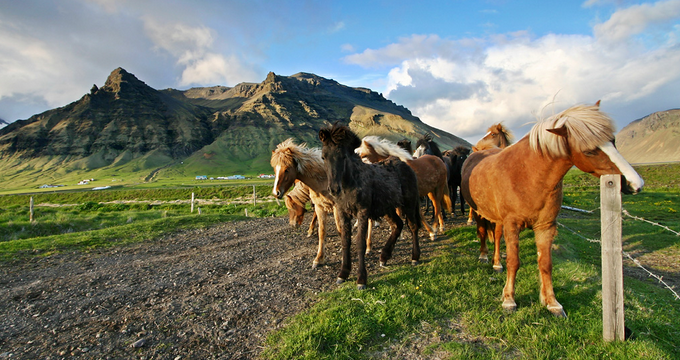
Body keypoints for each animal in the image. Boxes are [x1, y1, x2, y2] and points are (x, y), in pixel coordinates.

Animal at [270, 139, 342, 268]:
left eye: (287, 169)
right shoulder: (319, 206)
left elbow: (340, 229)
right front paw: (319, 259)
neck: (324, 179)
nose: (276, 192)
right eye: (274, 169)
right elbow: (321, 231)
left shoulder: (336, 207)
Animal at [318, 124, 420, 290]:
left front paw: (361, 279)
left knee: (412, 226)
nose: (333, 189)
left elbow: (360, 241)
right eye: (323, 157)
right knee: (397, 225)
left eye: (343, 156)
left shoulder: (363, 212)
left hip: (409, 203)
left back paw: (415, 257)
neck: (351, 183)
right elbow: (345, 240)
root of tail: (404, 164)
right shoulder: (342, 212)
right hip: (388, 208)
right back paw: (384, 256)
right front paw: (343, 274)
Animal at [462, 102, 644, 318]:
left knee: (497, 236)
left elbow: (546, 264)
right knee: (482, 232)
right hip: (479, 212)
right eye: (589, 150)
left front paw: (551, 302)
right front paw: (509, 299)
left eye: (613, 140)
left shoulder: (545, 226)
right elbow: (514, 262)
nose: (635, 184)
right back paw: (484, 256)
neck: (527, 174)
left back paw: (497, 262)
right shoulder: (512, 224)